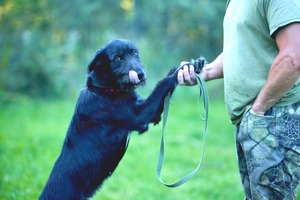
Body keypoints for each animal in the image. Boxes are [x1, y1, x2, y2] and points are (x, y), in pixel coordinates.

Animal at [38, 39, 179, 200]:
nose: (140, 74)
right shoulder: (140, 116)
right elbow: (161, 86)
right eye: (117, 58)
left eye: (135, 53)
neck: (104, 89)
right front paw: (179, 72)